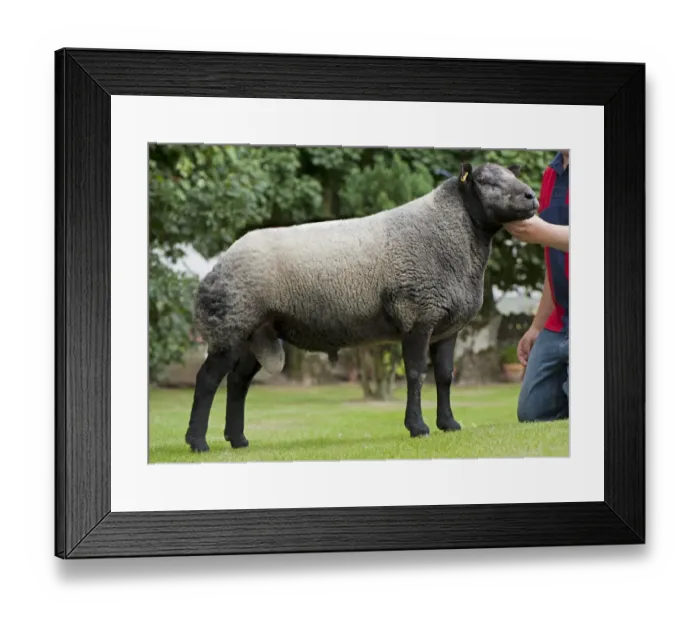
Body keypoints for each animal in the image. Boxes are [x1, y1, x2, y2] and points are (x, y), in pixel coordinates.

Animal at [184, 161, 539, 452]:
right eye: (485, 181)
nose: (531, 197)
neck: (449, 233)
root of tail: (217, 266)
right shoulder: (417, 316)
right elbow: (415, 374)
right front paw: (418, 427)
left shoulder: (446, 327)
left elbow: (445, 376)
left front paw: (449, 424)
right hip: (231, 323)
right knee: (207, 380)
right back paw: (199, 442)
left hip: (256, 332)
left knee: (238, 382)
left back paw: (238, 440)